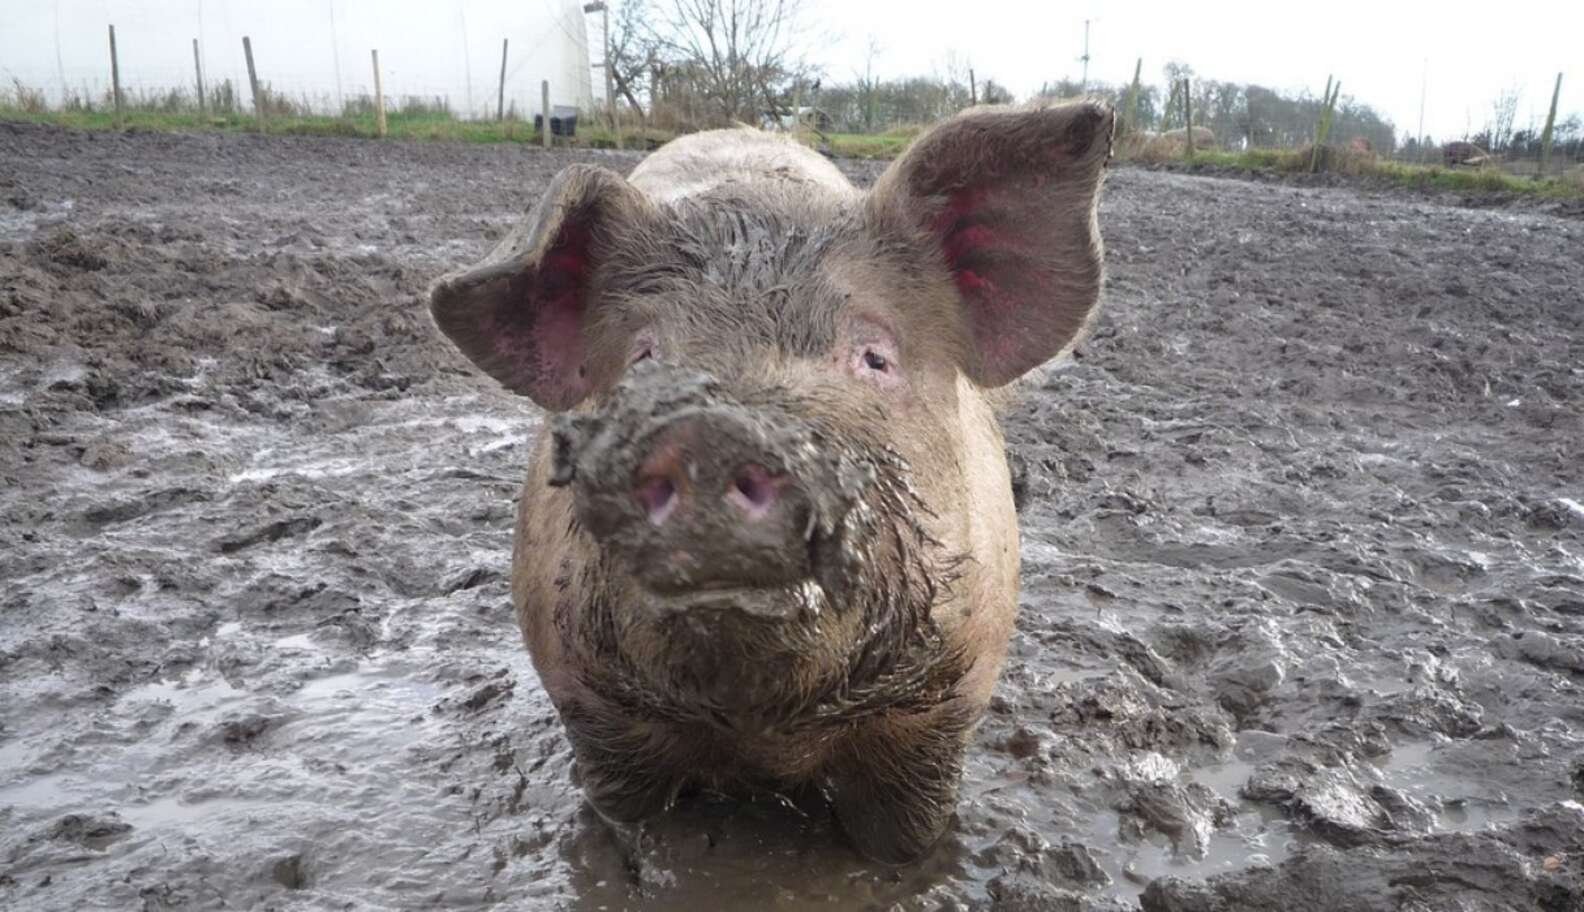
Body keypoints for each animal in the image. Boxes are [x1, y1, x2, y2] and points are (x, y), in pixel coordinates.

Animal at [427, 99, 1108, 861]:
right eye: (641, 356)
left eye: (874, 355)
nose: (712, 429)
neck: (764, 733)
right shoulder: (592, 709)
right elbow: (622, 810)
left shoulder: (941, 713)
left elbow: (906, 841)